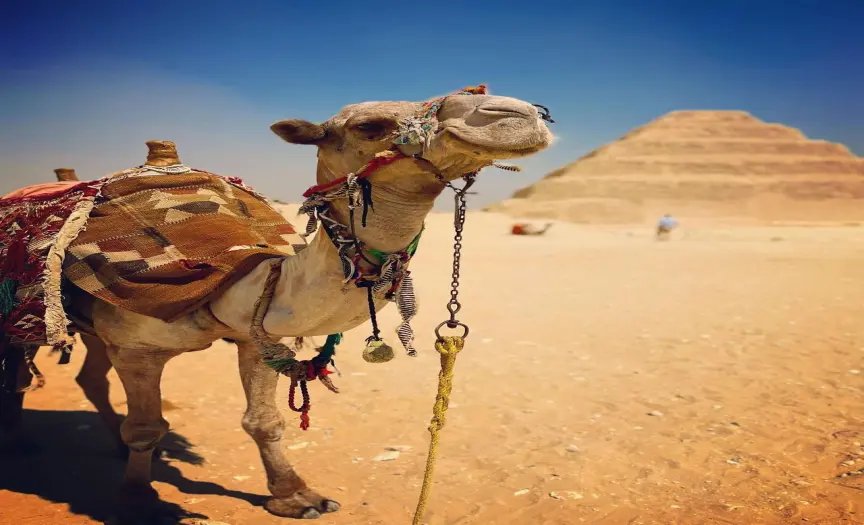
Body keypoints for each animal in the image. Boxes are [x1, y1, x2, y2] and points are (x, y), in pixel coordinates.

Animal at [1, 88, 552, 521]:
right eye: (371, 125)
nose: (519, 113)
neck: (230, 276)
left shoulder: (256, 335)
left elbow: (264, 422)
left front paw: (297, 496)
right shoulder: (137, 346)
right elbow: (147, 427)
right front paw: (139, 503)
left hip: (93, 325)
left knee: (88, 377)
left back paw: (107, 446)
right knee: (21, 374)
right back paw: (22, 443)